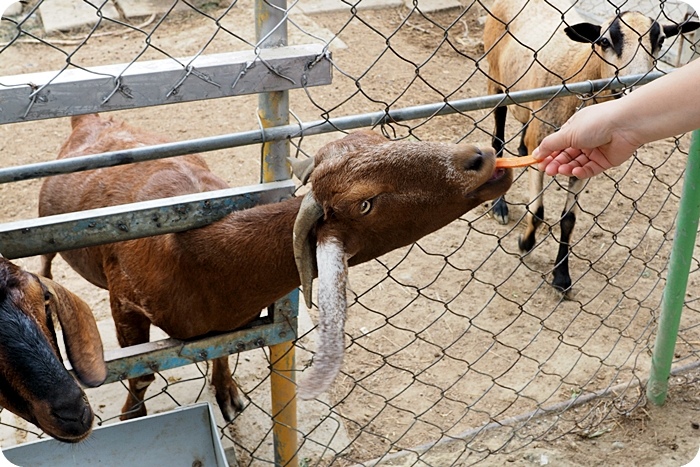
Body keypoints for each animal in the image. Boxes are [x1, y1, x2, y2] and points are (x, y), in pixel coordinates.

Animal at [38, 114, 516, 420]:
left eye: (380, 141)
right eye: (365, 203)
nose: (480, 157)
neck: (200, 263)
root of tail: (90, 119)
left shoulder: (234, 319)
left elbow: (223, 351)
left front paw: (228, 396)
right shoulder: (126, 305)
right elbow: (141, 374)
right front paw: (131, 415)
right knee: (45, 257)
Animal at [484, 0, 696, 296]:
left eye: (661, 40)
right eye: (604, 41)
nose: (635, 89)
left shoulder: (582, 163)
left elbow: (568, 220)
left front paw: (562, 277)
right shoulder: (541, 151)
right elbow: (538, 212)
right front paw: (525, 243)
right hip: (496, 81)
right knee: (498, 140)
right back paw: (500, 206)